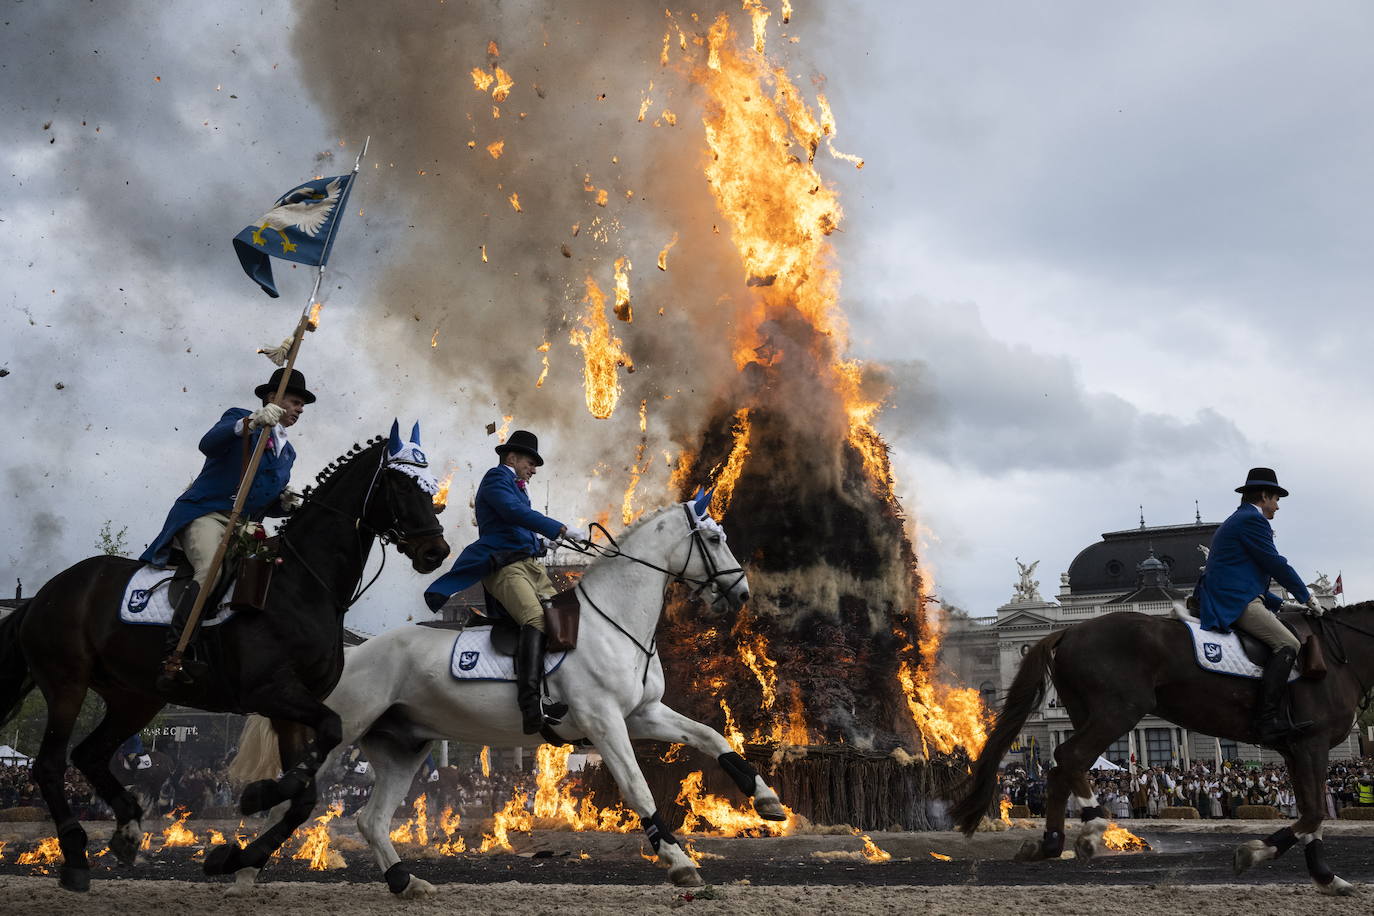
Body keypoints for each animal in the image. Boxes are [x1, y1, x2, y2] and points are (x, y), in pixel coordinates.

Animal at [0, 433, 447, 889]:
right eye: (403, 485)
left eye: (432, 490)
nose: (436, 551)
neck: (300, 586)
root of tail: (44, 593)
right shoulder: (270, 692)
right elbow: (327, 735)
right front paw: (257, 796)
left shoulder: (290, 707)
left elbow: (304, 795)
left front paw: (236, 852)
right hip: (67, 682)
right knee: (50, 765)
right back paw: (75, 856)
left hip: (135, 697)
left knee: (89, 754)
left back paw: (127, 832)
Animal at [230, 502, 780, 895]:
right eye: (714, 539)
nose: (741, 594)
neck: (613, 621)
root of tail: (353, 653)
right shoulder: (603, 721)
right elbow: (639, 788)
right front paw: (680, 862)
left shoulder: (642, 714)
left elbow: (712, 737)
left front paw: (767, 800)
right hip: (341, 736)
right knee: (294, 801)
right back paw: (242, 871)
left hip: (403, 748)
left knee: (370, 819)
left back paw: (405, 883)